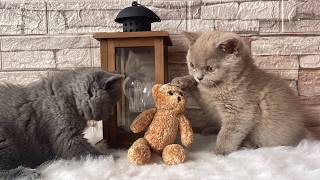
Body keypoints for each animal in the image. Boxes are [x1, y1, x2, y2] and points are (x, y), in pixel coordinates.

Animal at [172, 31, 308, 155]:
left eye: (210, 68)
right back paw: (209, 129)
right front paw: (181, 80)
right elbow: (197, 88)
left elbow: (227, 134)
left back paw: (248, 144)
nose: (199, 77)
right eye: (192, 65)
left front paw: (218, 152)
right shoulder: (207, 101)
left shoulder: (240, 113)